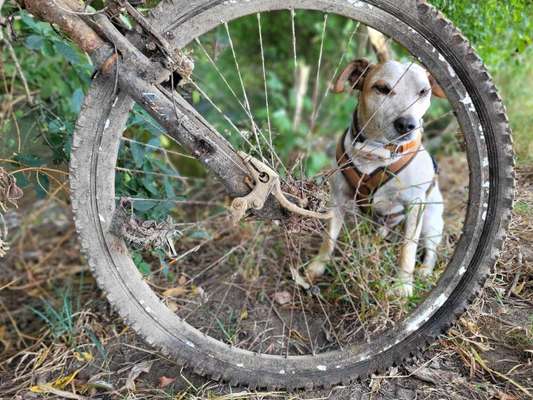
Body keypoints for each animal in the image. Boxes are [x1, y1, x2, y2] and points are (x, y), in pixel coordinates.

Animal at [304, 59, 444, 296]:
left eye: (424, 91)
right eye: (382, 88)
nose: (407, 124)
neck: (376, 153)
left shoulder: (416, 205)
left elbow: (408, 248)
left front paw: (403, 285)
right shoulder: (338, 197)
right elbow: (329, 238)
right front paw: (318, 266)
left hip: (430, 222)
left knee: (430, 249)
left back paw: (424, 270)